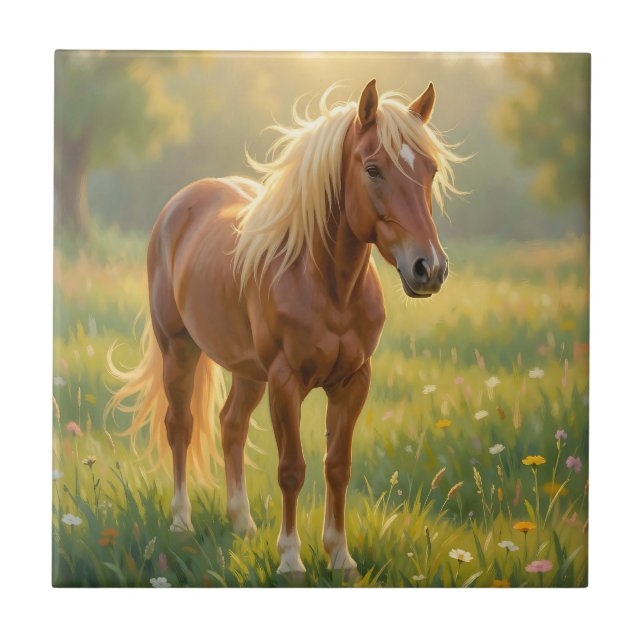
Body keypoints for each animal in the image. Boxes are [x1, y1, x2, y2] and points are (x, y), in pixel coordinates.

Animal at [107, 79, 463, 577]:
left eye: (430, 169)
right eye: (373, 169)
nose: (428, 268)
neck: (326, 284)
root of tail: (180, 205)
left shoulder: (354, 381)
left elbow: (338, 466)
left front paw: (340, 557)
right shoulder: (285, 381)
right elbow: (291, 468)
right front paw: (291, 560)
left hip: (247, 371)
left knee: (231, 426)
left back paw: (242, 523)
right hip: (179, 350)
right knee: (181, 425)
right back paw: (181, 522)